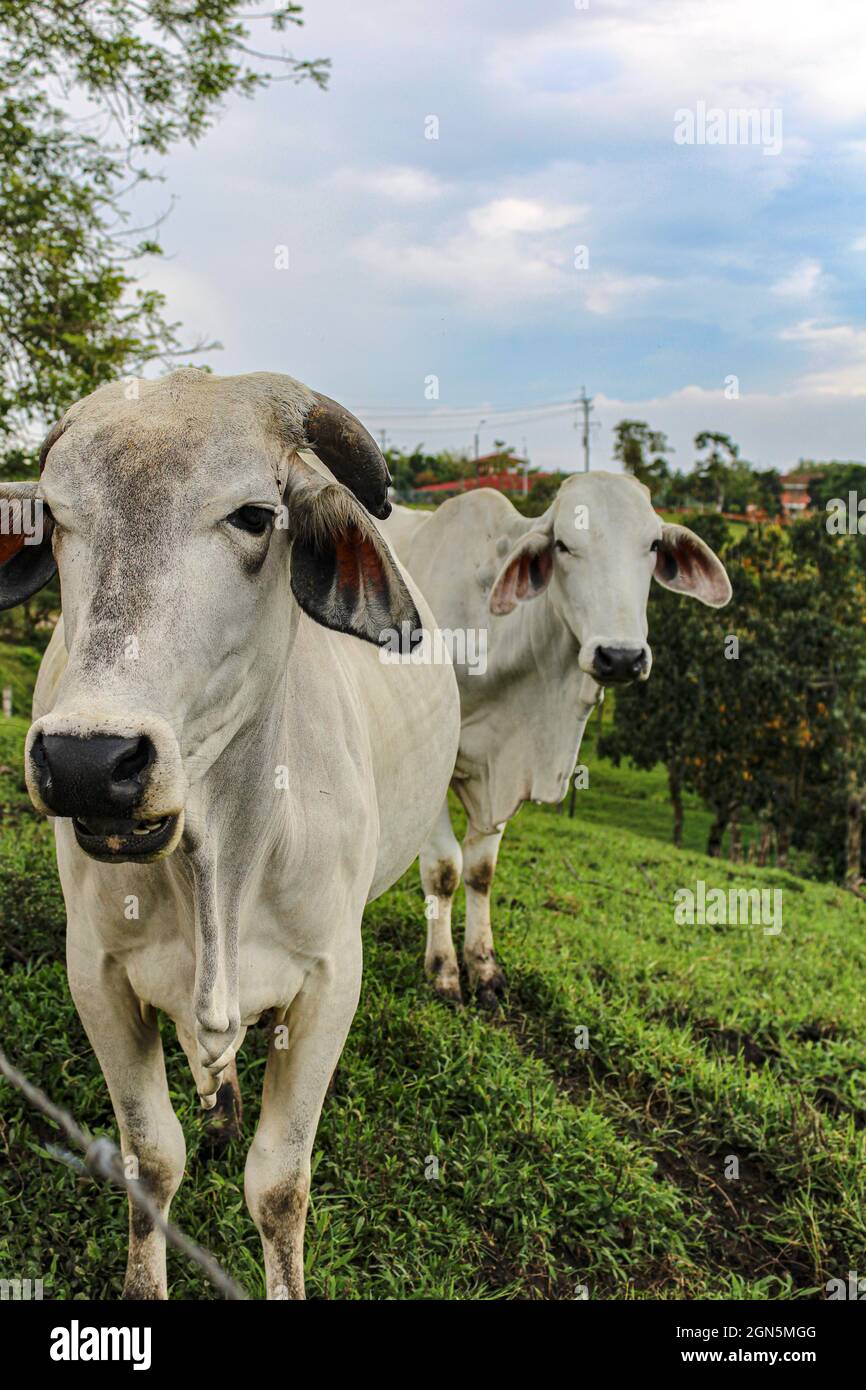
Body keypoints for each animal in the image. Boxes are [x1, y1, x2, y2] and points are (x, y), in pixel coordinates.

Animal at [0, 369, 460, 1300]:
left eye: (253, 515)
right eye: (55, 518)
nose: (88, 761)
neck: (222, 857)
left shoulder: (330, 983)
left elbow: (279, 1186)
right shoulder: (96, 974)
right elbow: (150, 1157)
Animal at [379, 472, 731, 1006]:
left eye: (653, 544)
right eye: (563, 545)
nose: (621, 657)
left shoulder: (502, 767)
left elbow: (480, 870)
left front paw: (484, 967)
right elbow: (444, 870)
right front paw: (443, 971)